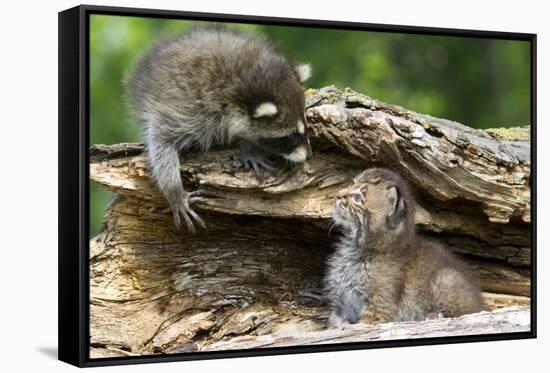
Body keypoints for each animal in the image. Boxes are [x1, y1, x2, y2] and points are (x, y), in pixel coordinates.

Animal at [126, 24, 312, 231]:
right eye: (290, 137)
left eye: (305, 128)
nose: (308, 156)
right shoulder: (188, 105)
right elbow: (161, 142)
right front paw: (174, 191)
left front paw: (249, 146)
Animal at [326, 167, 486, 326]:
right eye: (352, 183)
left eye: (358, 198)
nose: (337, 195)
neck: (355, 246)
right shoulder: (341, 303)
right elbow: (334, 324)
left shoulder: (379, 306)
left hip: (445, 278)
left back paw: (433, 315)